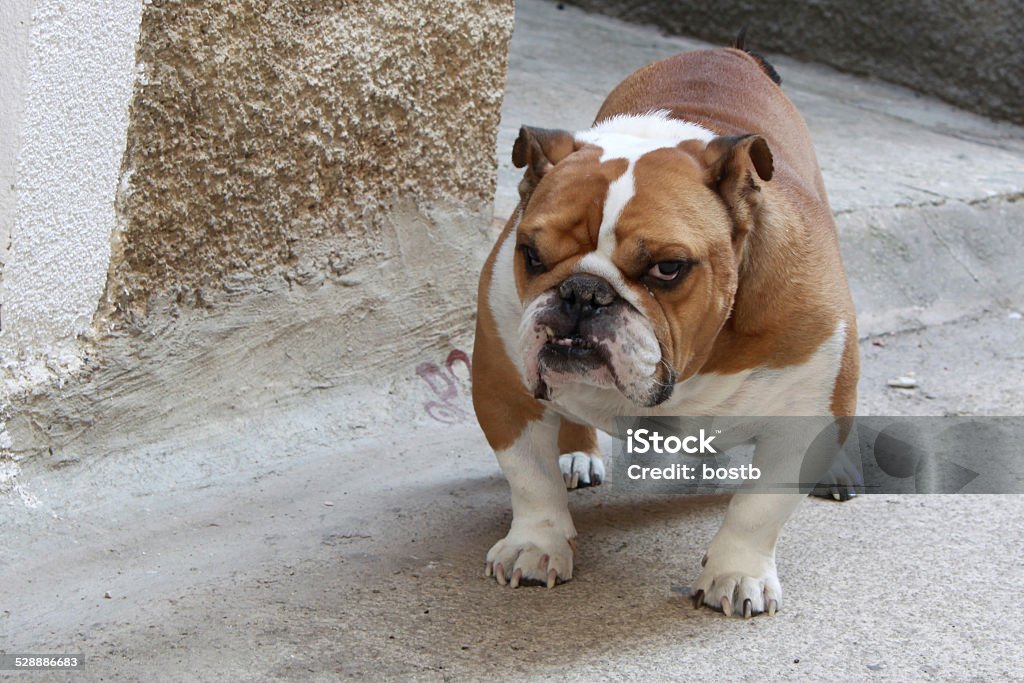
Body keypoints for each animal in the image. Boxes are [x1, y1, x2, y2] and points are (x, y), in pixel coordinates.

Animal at [471, 45, 856, 618]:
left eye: (668, 268)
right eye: (532, 255)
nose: (582, 292)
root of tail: (730, 51)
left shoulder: (802, 419)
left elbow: (759, 509)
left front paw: (736, 573)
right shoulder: (505, 389)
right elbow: (530, 478)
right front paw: (535, 545)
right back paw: (577, 452)